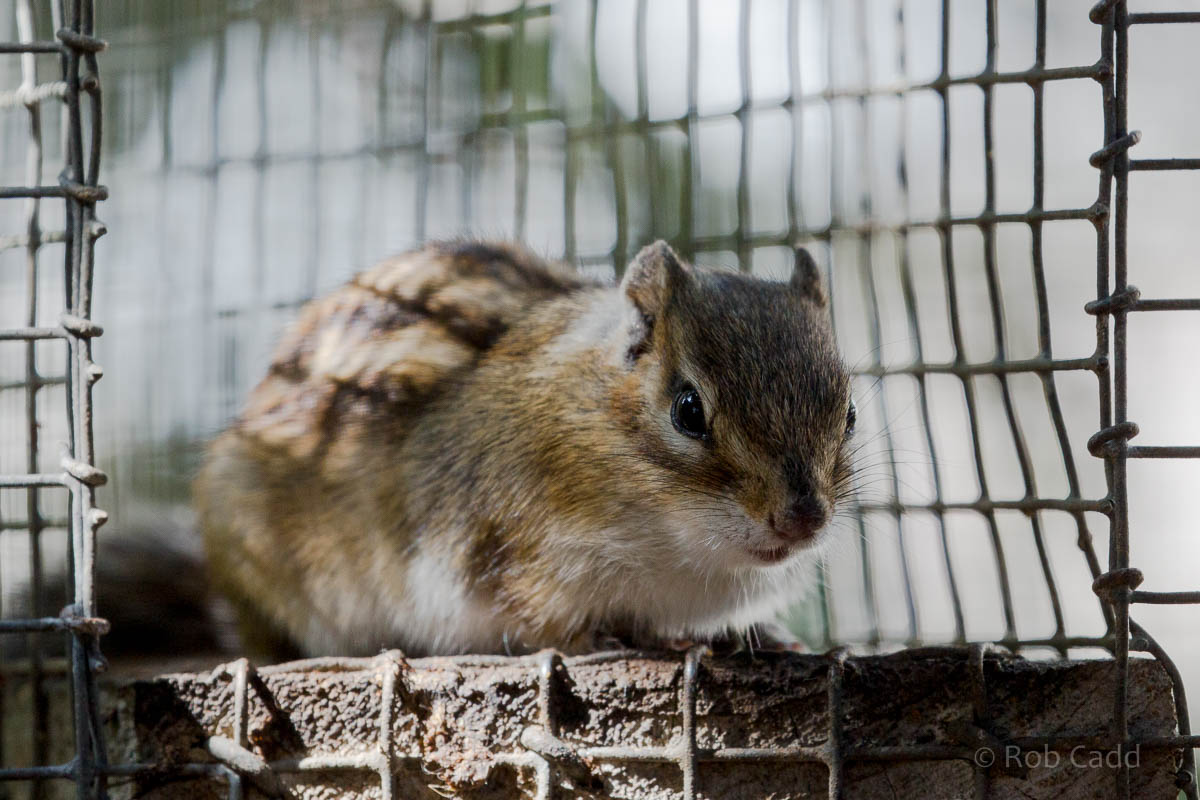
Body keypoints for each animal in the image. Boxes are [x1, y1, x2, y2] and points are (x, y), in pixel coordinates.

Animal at [193, 240, 856, 659]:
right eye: (688, 411)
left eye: (848, 415)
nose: (803, 518)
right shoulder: (500, 548)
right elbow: (544, 620)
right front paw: (620, 638)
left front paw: (750, 635)